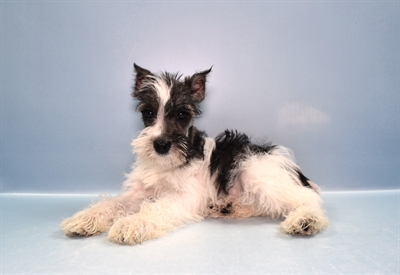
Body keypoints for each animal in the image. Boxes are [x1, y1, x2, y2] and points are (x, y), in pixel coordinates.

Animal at [61, 63, 328, 245]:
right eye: (148, 113)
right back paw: (229, 208)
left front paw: (131, 223)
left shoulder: (184, 197)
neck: (167, 164)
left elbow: (156, 208)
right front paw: (85, 219)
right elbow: (113, 203)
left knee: (307, 199)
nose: (161, 145)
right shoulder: (139, 192)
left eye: (182, 115)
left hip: (256, 172)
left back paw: (306, 220)